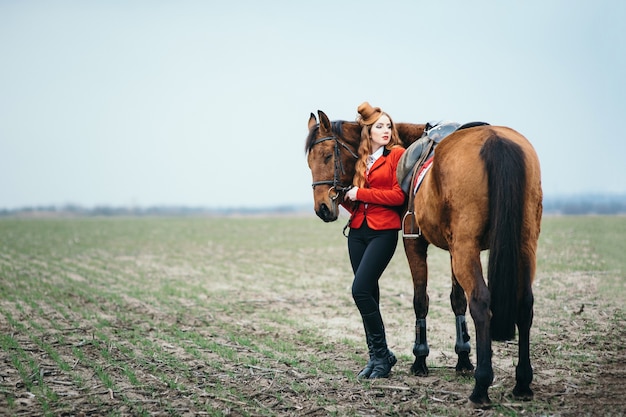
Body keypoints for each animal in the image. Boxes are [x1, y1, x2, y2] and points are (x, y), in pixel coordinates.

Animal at [304, 109, 540, 404]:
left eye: (326, 155)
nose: (322, 208)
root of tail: (495, 140)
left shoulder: (414, 243)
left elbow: (420, 301)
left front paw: (420, 360)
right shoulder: (454, 249)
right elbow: (457, 301)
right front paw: (463, 358)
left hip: (467, 249)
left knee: (481, 302)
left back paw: (481, 386)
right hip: (521, 245)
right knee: (525, 303)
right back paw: (522, 382)